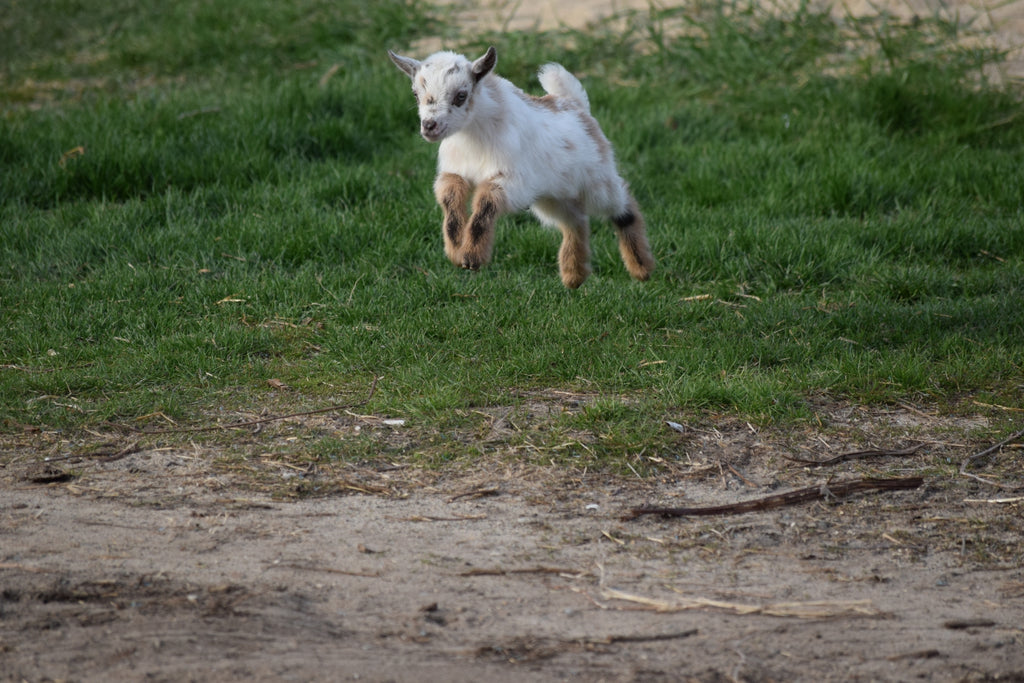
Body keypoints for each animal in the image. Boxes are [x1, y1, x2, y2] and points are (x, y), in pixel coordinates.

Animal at [388, 46, 654, 288]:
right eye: (415, 94)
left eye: (461, 96)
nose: (429, 126)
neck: (474, 135)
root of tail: (575, 104)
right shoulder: (454, 173)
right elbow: (450, 201)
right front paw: (455, 251)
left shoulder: (510, 181)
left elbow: (485, 205)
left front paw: (472, 258)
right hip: (552, 196)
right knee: (575, 221)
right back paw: (573, 276)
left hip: (597, 181)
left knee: (623, 206)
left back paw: (641, 268)